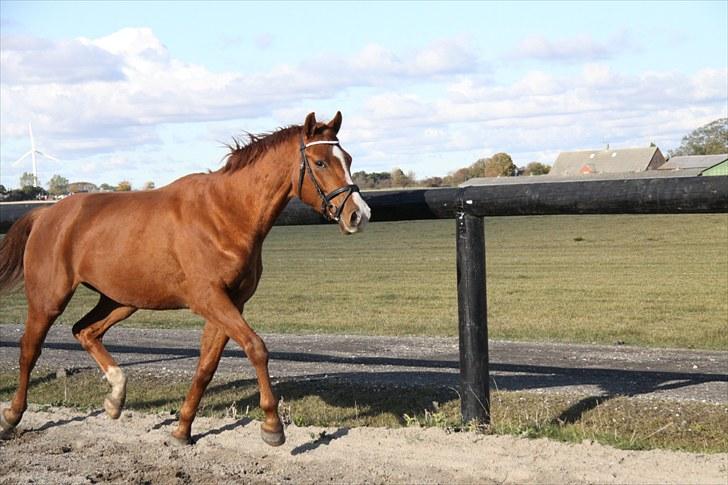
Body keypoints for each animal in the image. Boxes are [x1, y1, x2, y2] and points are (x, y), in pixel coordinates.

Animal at [0, 111, 370, 444]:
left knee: (85, 331)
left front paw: (182, 429)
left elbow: (207, 366)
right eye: (320, 163)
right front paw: (272, 426)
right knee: (29, 350)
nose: (359, 214)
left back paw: (115, 398)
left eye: (348, 159)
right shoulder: (209, 299)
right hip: (49, 299)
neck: (225, 214)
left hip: (121, 300)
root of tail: (46, 213)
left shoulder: (230, 303)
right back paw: (12, 416)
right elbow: (256, 348)